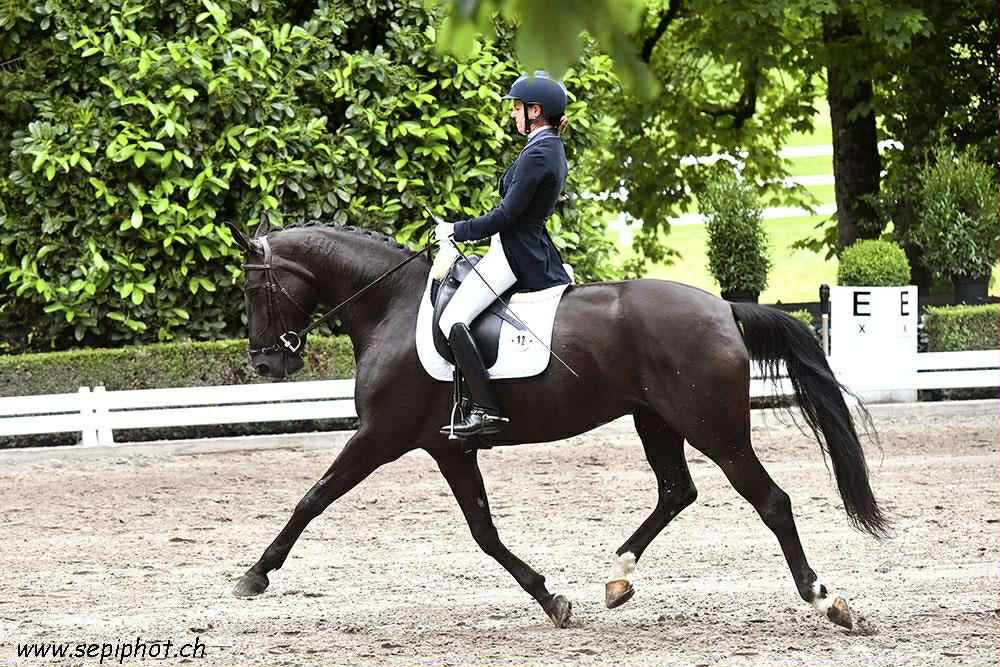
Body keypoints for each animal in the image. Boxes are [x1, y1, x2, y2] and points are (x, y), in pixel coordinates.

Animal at [230, 220, 887, 630]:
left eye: (252, 286)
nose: (265, 364)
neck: (389, 306)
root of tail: (724, 307)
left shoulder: (378, 437)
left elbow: (313, 498)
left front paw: (253, 576)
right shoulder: (449, 449)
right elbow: (484, 531)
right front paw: (552, 599)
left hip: (715, 430)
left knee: (770, 500)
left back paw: (826, 599)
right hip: (656, 420)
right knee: (676, 491)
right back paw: (618, 579)